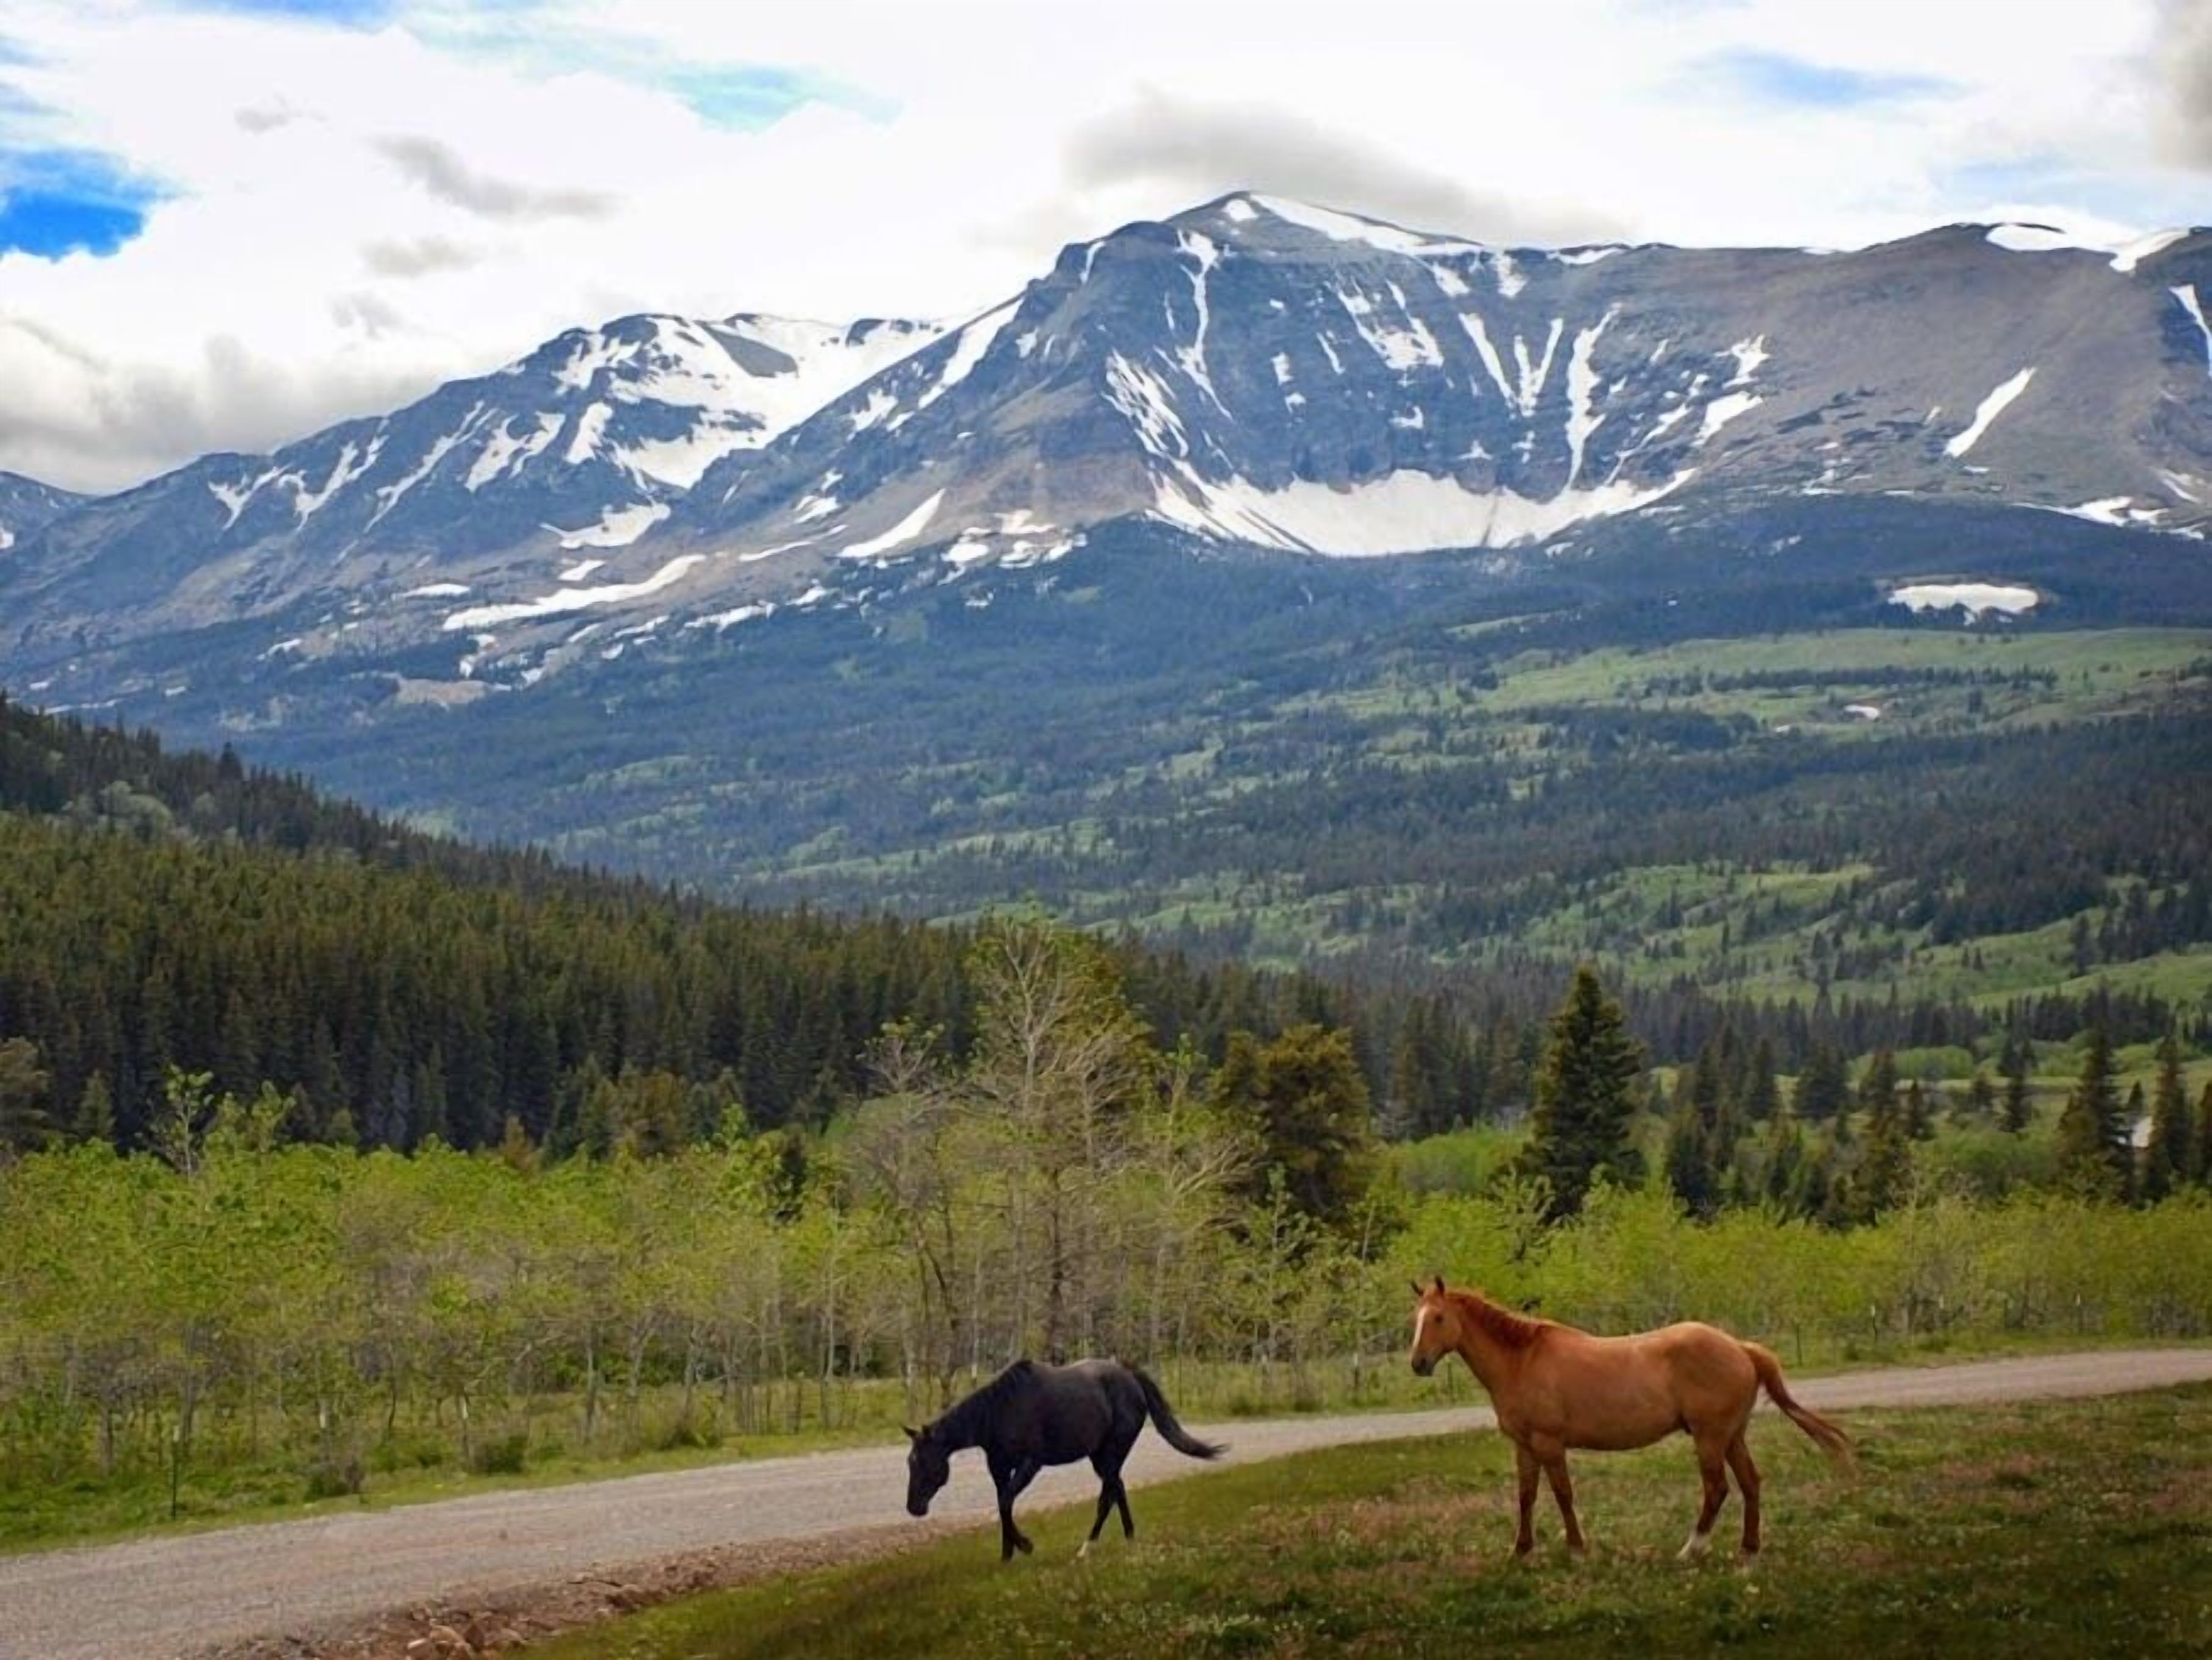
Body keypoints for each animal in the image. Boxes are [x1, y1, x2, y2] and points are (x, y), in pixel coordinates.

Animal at [903, 1358, 1224, 1561]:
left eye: (923, 1461)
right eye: (911, 1462)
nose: (913, 1508)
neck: (999, 1412)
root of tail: (1130, 1376)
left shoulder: (1030, 1464)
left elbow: (1005, 1502)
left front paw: (1025, 1546)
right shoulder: (999, 1469)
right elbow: (1003, 1504)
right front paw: (1008, 1555)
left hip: (1111, 1454)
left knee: (1108, 1496)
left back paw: (1087, 1549)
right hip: (1101, 1457)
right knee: (1118, 1490)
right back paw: (1130, 1539)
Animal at [1408, 1276, 1851, 1559]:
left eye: (1439, 1318)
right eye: (1416, 1319)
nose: (1418, 1364)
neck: (1522, 1360)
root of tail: (1740, 1348)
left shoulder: (1550, 1444)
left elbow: (1563, 1494)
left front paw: (1577, 1548)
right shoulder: (1525, 1446)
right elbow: (1526, 1496)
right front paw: (1519, 1550)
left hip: (1709, 1438)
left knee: (1717, 1489)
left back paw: (1691, 1550)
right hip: (1731, 1436)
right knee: (1750, 1484)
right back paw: (1748, 1549)